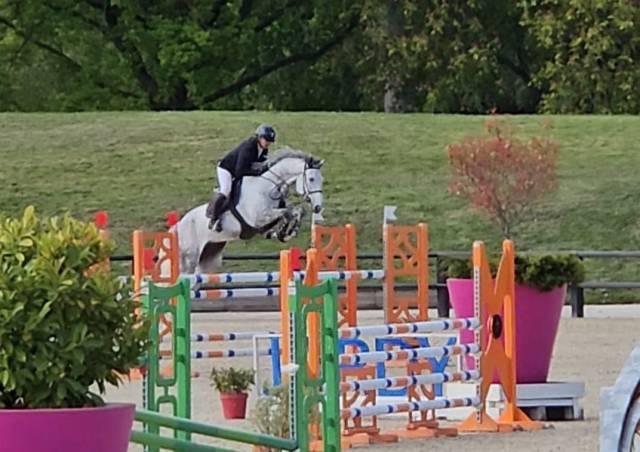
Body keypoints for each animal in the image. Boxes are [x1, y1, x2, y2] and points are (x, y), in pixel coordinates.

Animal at [173, 148, 325, 274]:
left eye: (321, 179)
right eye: (311, 179)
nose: (318, 207)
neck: (267, 187)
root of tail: (178, 225)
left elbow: (296, 211)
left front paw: (286, 232)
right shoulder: (259, 219)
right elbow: (287, 212)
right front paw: (285, 232)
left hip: (209, 256)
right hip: (189, 260)